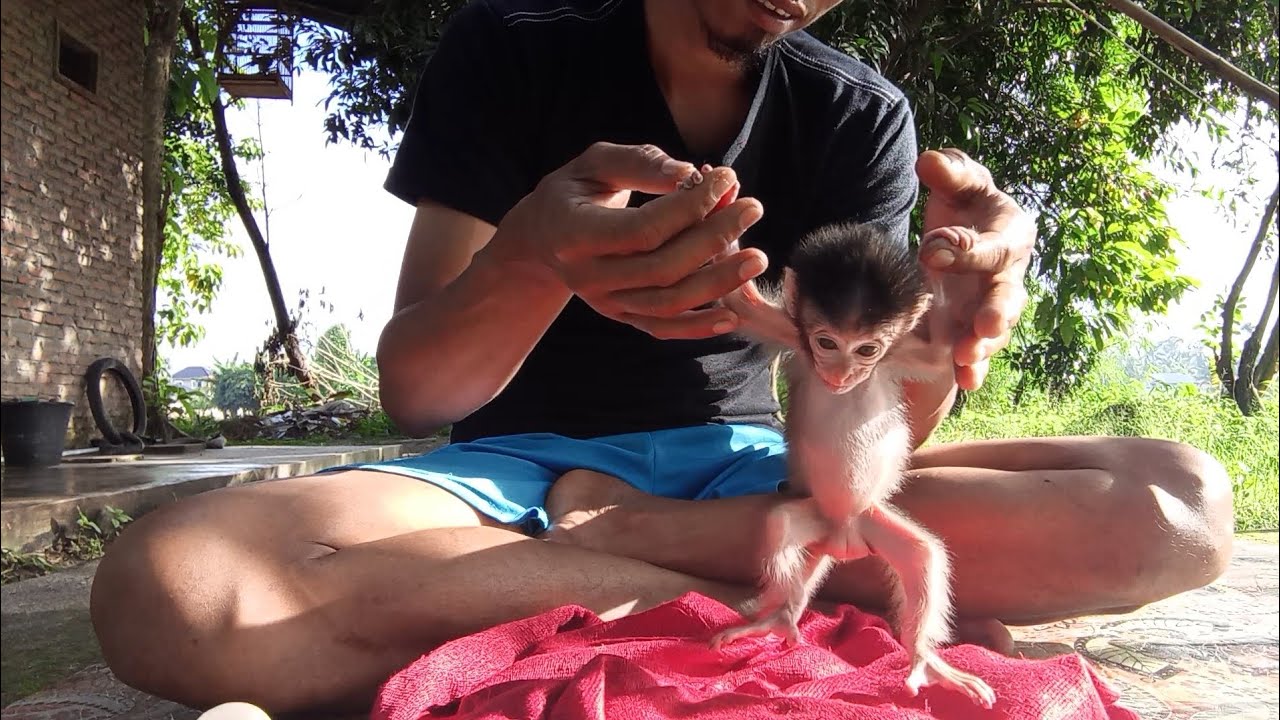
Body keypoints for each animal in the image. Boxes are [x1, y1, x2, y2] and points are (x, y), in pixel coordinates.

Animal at [708, 220, 996, 710]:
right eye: (826, 342)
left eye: (866, 350)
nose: (841, 373)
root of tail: (844, 535)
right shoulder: (793, 336)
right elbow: (742, 307)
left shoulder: (902, 356)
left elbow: (946, 352)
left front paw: (952, 253)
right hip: (817, 519)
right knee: (781, 529)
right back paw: (780, 615)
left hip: (870, 519)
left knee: (923, 557)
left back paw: (923, 658)